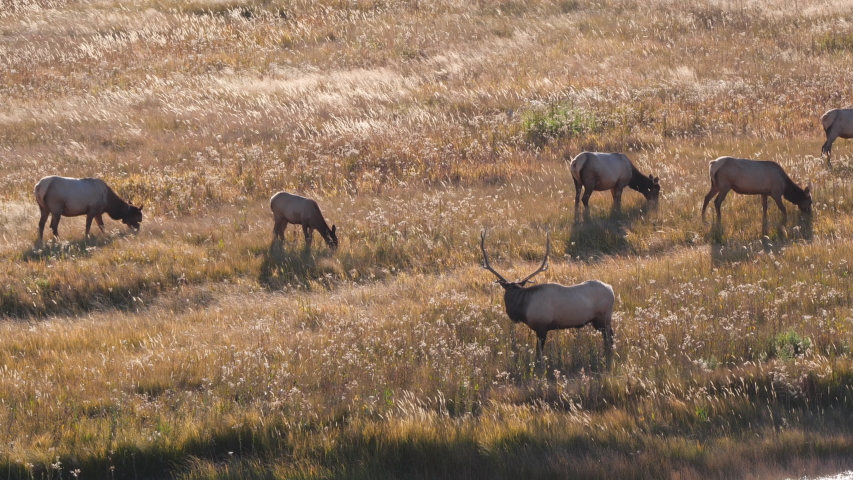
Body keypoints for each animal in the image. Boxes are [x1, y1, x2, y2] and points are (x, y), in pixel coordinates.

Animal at [480, 230, 615, 367]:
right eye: (508, 292)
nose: (510, 313)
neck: (524, 308)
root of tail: (611, 289)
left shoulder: (542, 326)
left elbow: (539, 352)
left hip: (604, 317)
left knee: (610, 337)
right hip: (596, 321)